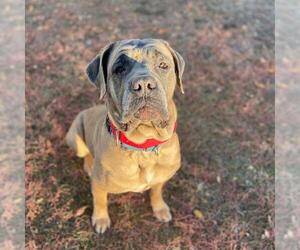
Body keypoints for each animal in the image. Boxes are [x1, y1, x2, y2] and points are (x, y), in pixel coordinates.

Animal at [66, 38, 185, 233]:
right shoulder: (99, 185)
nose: (144, 85)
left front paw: (160, 208)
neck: (143, 145)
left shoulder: (161, 177)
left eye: (163, 65)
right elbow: (100, 201)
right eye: (119, 69)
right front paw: (101, 219)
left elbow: (156, 191)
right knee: (85, 153)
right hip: (75, 137)